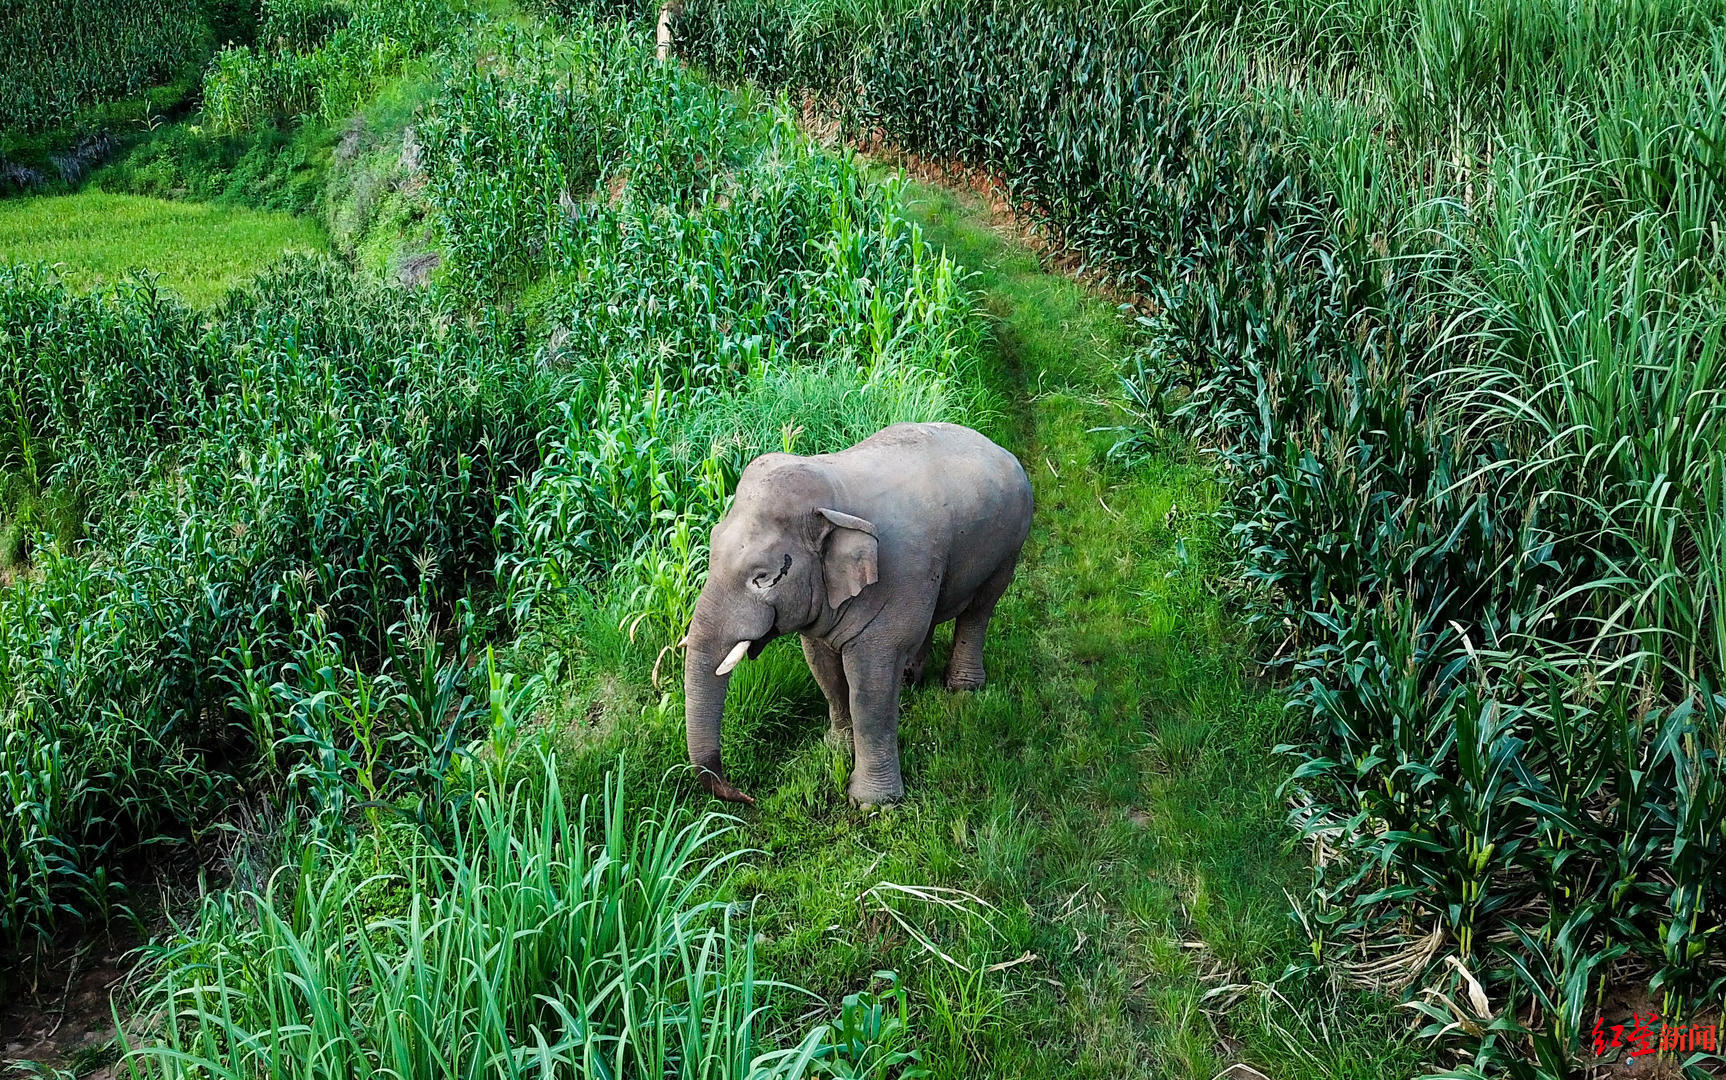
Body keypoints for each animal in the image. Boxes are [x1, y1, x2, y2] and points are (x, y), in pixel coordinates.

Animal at [680, 415, 1028, 803]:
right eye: (711, 546)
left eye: (763, 577)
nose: (747, 796)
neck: (833, 491)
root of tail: (998, 447)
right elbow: (824, 668)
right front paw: (835, 749)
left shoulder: (896, 573)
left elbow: (869, 683)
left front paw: (873, 803)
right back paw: (909, 681)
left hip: (1010, 543)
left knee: (980, 610)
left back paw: (962, 688)